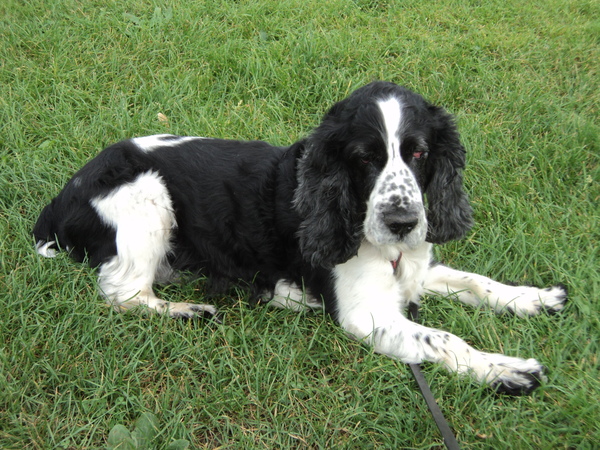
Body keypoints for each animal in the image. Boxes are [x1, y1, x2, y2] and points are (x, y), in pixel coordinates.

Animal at [34, 81, 568, 394]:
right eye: (364, 157)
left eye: (418, 153)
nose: (402, 222)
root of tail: (61, 199)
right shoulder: (365, 314)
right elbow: (441, 337)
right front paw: (504, 368)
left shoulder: (415, 269)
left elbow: (476, 281)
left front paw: (534, 298)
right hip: (147, 196)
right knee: (121, 291)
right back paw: (189, 310)